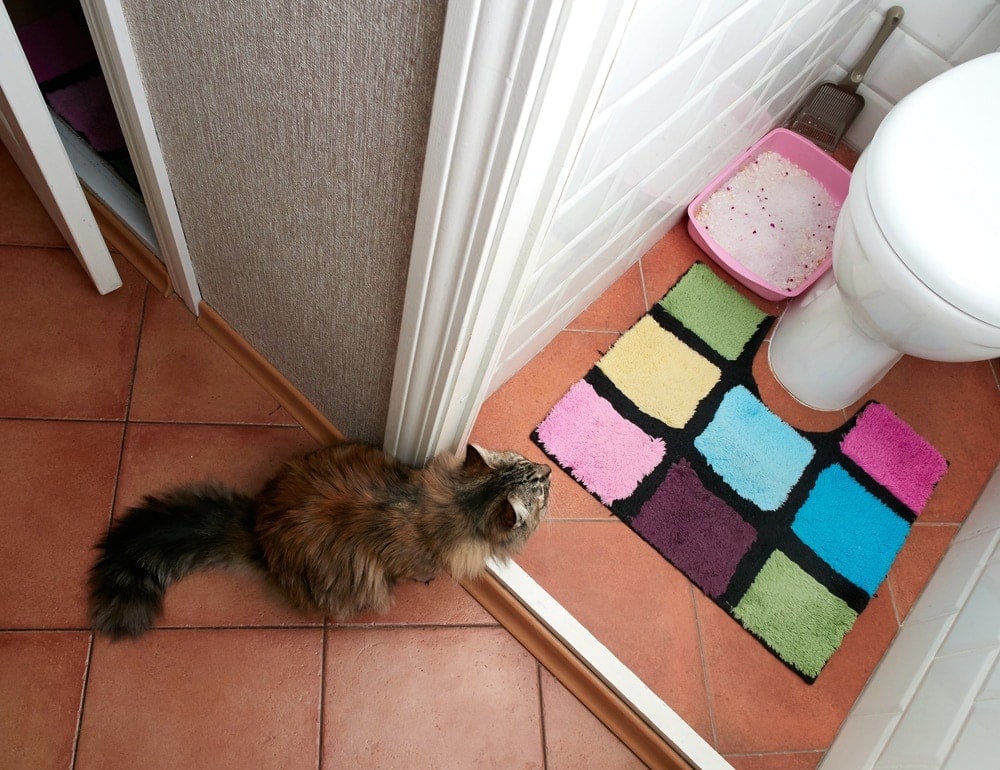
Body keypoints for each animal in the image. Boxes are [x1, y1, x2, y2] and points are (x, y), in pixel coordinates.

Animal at [90, 440, 552, 640]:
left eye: (532, 465)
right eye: (542, 488)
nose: (549, 470)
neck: (458, 503)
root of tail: (258, 530)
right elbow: (418, 572)